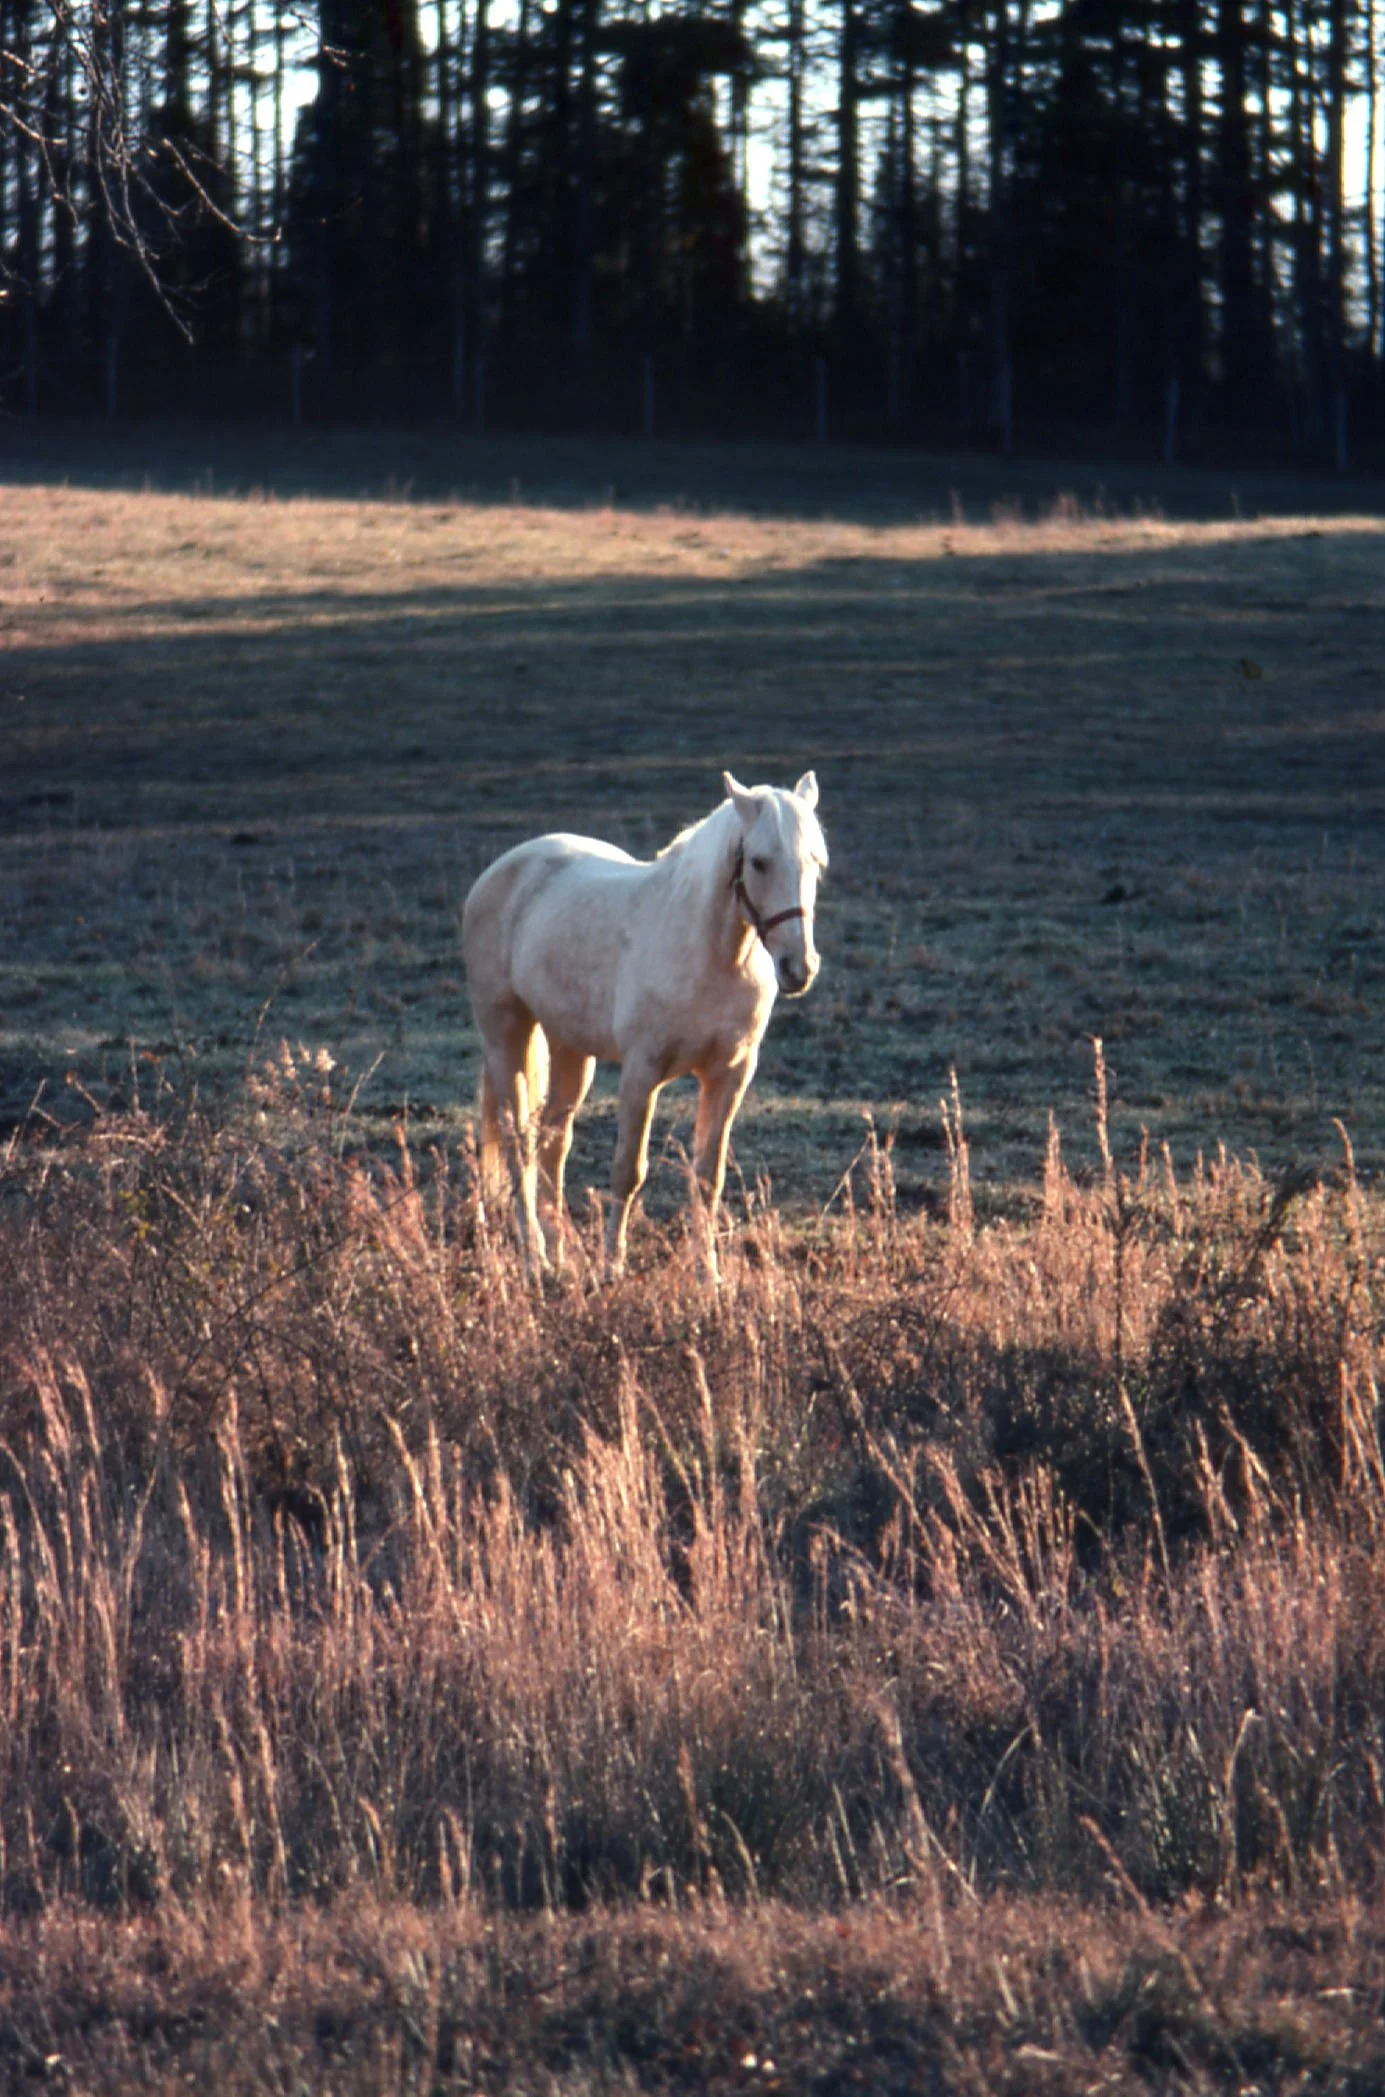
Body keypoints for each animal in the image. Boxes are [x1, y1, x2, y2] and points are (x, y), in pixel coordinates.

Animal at [462, 771, 827, 1277]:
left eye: (816, 863)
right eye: (758, 862)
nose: (799, 968)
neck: (711, 956)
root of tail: (501, 869)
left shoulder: (729, 1075)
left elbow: (707, 1178)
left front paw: (709, 1276)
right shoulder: (642, 1073)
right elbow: (628, 1172)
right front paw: (611, 1269)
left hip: (570, 1047)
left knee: (553, 1140)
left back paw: (558, 1256)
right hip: (506, 1035)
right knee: (521, 1142)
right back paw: (536, 1260)